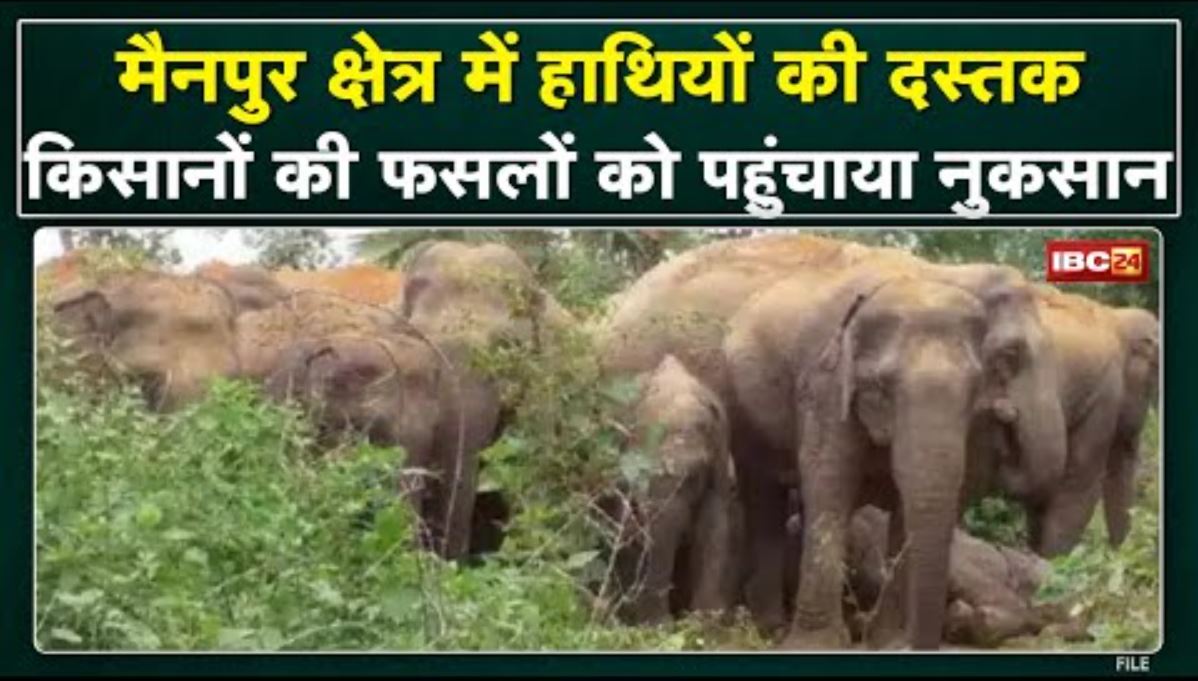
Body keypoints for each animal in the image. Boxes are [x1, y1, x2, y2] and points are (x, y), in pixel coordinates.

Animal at [606, 355, 742, 624]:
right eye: (640, 474)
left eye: (693, 476)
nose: (664, 623)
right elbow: (626, 526)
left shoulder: (720, 454)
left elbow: (715, 522)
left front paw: (703, 622)